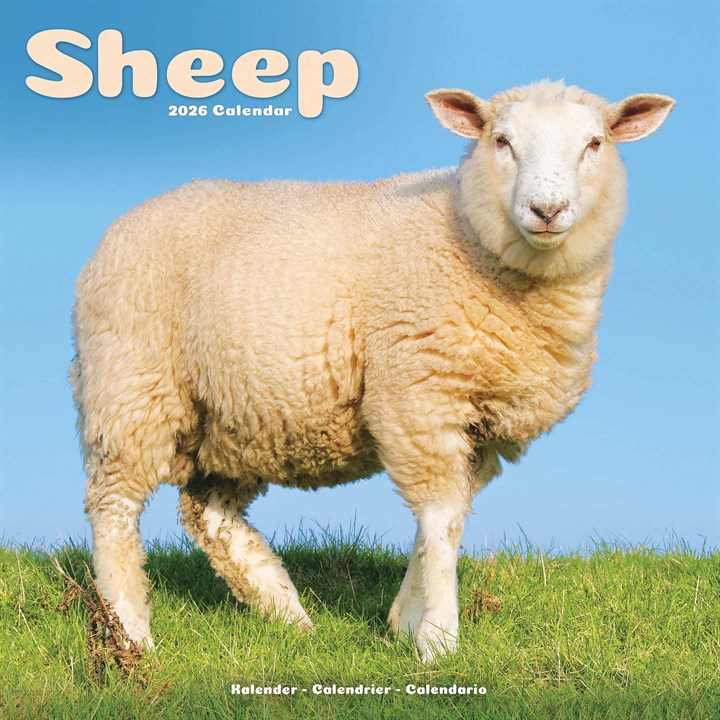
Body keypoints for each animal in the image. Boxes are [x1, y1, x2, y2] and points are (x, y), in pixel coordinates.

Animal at [71, 80, 674, 663]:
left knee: (210, 516)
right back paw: (131, 634)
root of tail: (121, 226)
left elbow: (446, 520)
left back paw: (288, 616)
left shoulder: (479, 427)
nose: (547, 210)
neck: (467, 234)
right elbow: (441, 518)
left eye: (594, 144)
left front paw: (405, 620)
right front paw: (438, 638)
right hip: (130, 387)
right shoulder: (418, 394)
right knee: (113, 509)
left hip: (237, 416)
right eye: (501, 141)